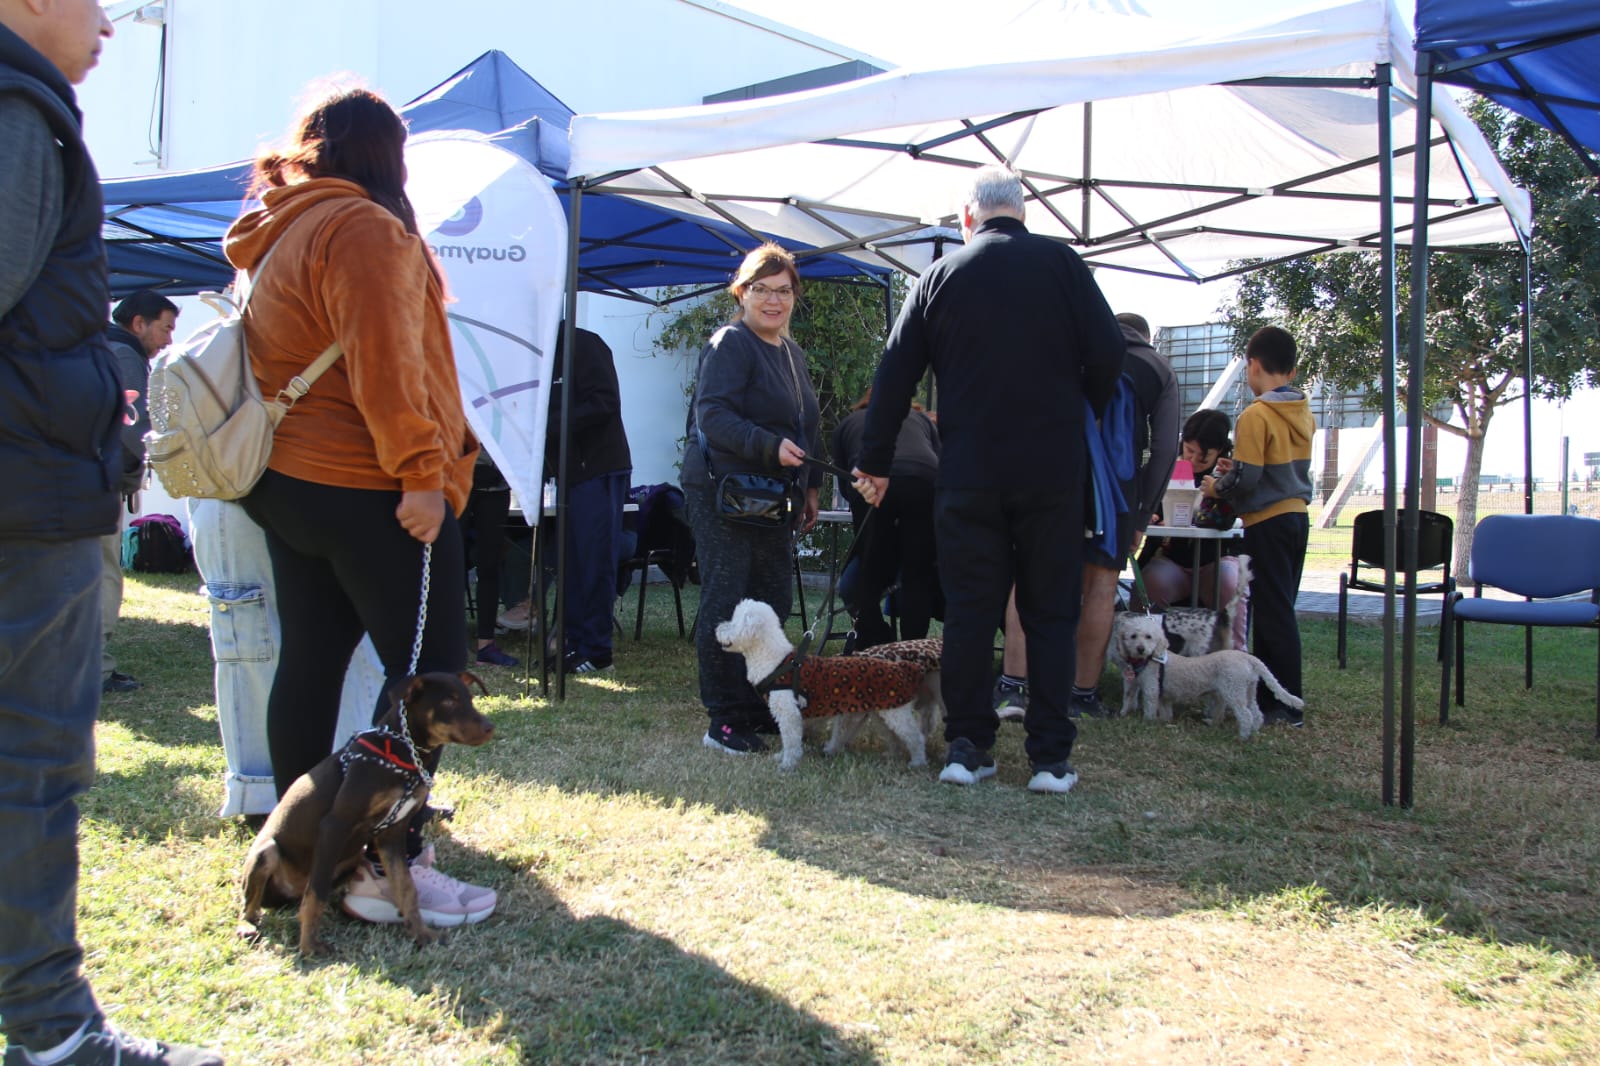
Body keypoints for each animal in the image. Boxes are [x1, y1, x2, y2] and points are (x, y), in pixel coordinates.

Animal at [235, 669, 492, 947]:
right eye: (448, 702)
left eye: (470, 698)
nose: (490, 728)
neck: (402, 753)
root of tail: (287, 892)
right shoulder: (335, 826)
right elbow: (317, 893)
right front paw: (309, 947)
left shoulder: (392, 834)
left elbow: (406, 887)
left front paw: (421, 933)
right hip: (267, 853)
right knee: (251, 903)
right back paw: (247, 925)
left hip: (352, 856)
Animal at [720, 598, 934, 765]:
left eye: (734, 621)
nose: (717, 628)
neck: (775, 660)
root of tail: (904, 667)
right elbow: (788, 740)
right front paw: (781, 758)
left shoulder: (789, 712)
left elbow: (790, 740)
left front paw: (787, 764)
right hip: (882, 714)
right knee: (895, 737)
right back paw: (891, 755)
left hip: (896, 713)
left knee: (915, 737)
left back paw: (918, 762)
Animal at [1113, 611, 1299, 736]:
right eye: (1133, 636)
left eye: (1148, 637)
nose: (1140, 649)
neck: (1150, 659)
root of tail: (1250, 659)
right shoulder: (1162, 694)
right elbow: (1154, 706)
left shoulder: (1151, 688)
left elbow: (1149, 706)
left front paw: (1147, 723)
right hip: (1249, 690)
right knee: (1256, 713)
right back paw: (1252, 731)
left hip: (1234, 691)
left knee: (1245, 714)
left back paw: (1242, 736)